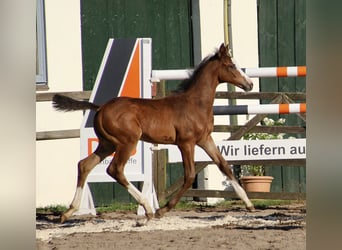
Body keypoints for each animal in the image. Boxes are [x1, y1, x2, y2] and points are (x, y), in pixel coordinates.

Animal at [53, 43, 255, 223]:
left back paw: (69, 212)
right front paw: (162, 210)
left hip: (107, 144)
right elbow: (189, 176)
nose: (250, 84)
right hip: (127, 142)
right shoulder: (186, 143)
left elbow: (224, 166)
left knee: (84, 165)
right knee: (115, 169)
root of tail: (101, 107)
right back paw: (148, 208)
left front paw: (249, 204)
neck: (194, 104)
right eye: (231, 66)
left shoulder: (205, 139)